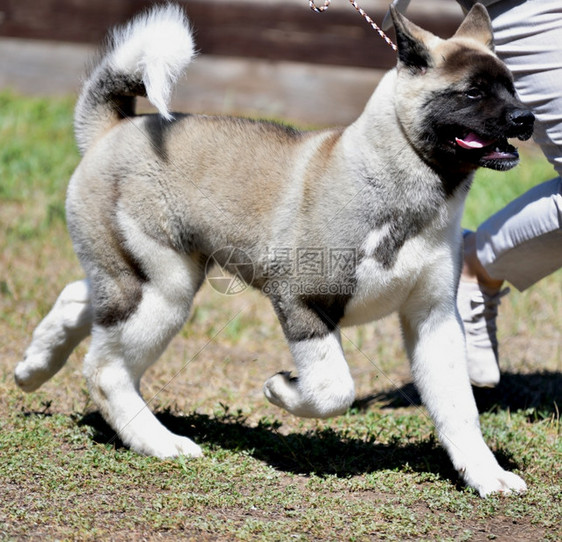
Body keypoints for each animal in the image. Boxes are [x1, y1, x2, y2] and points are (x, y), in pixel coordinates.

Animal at [15, 4, 532, 498]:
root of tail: (111, 131)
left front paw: (486, 475)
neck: (395, 184)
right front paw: (282, 390)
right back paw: (159, 442)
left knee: (79, 299)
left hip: (138, 276)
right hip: (162, 288)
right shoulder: (301, 301)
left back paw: (33, 368)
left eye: (512, 88)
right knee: (106, 370)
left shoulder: (434, 319)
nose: (525, 119)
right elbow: (334, 388)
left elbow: (458, 409)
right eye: (472, 93)